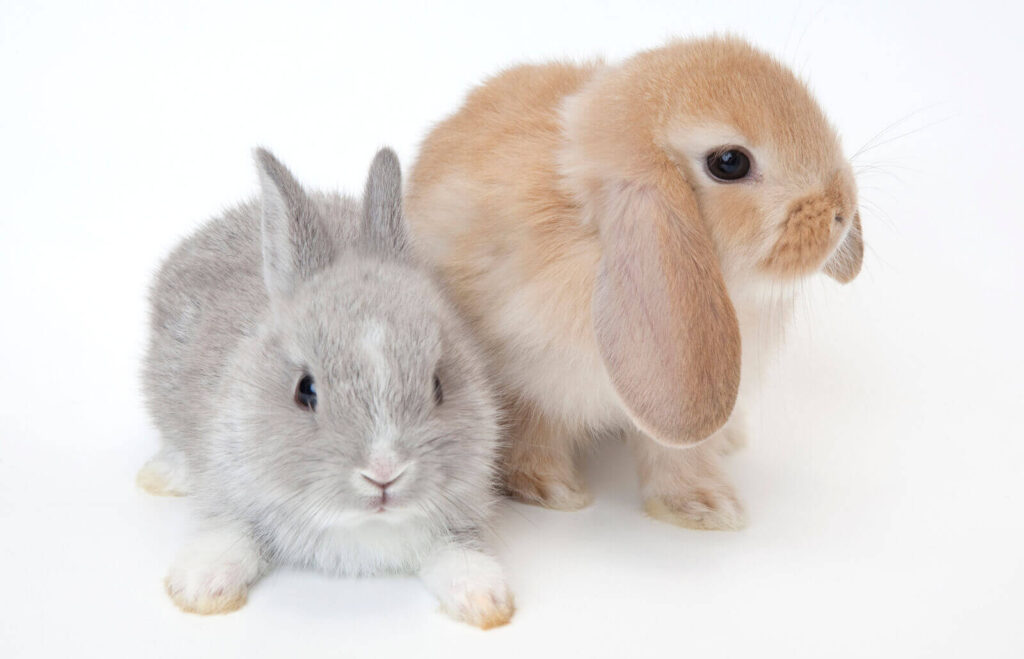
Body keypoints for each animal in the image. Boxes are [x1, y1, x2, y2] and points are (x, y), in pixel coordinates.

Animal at [136, 147, 514, 629]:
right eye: (305, 390)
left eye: (438, 385)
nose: (383, 474)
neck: (358, 525)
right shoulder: (230, 485)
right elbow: (230, 530)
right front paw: (200, 586)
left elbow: (459, 552)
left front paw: (485, 601)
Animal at [405, 36, 864, 531]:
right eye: (729, 163)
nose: (840, 211)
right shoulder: (528, 376)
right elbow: (532, 432)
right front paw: (551, 490)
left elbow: (675, 454)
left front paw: (704, 506)